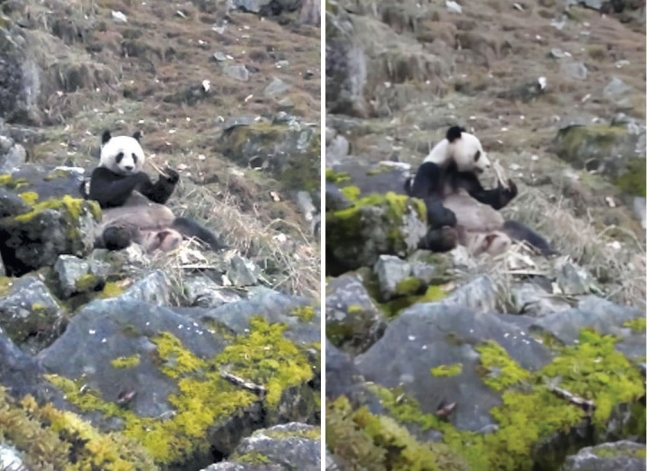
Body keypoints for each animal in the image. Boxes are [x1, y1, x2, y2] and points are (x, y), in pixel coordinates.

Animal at [81, 129, 225, 254]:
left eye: (133, 155)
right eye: (120, 155)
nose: (129, 167)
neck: (123, 175)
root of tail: (153, 234)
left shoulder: (145, 188)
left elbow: (156, 197)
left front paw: (169, 176)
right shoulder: (101, 173)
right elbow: (102, 196)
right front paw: (140, 175)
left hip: (173, 223)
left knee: (194, 228)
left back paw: (220, 247)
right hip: (109, 227)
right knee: (112, 235)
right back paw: (123, 235)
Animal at [408, 125, 556, 258]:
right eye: (478, 153)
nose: (488, 165)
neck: (451, 163)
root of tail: (487, 237)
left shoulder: (465, 176)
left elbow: (483, 197)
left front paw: (508, 189)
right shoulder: (430, 170)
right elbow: (424, 198)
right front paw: (449, 216)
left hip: (503, 227)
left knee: (522, 230)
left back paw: (550, 251)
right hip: (460, 236)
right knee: (438, 235)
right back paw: (449, 238)